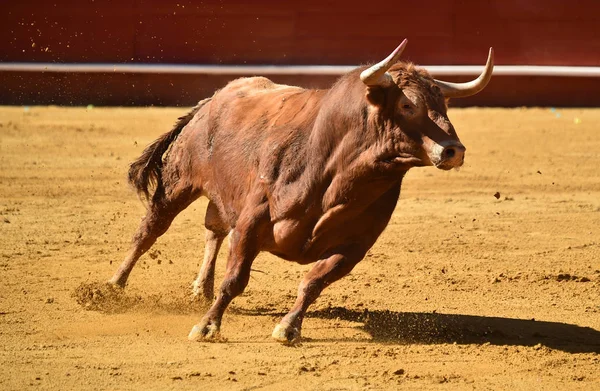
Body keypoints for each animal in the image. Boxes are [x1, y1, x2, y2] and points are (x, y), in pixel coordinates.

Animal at [106, 39, 492, 344]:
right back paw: (111, 287)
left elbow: (313, 282)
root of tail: (213, 99)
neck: (337, 174)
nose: (453, 150)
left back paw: (200, 288)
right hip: (178, 182)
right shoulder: (252, 220)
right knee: (150, 231)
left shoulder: (355, 245)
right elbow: (235, 279)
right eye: (407, 104)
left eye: (443, 105)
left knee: (213, 230)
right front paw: (206, 328)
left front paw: (288, 329)